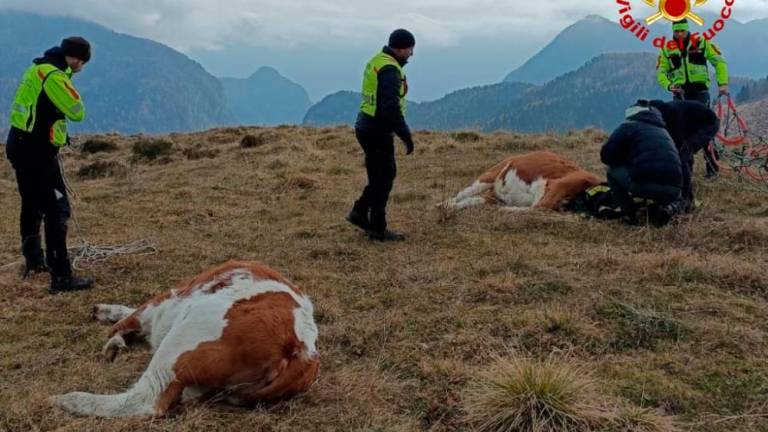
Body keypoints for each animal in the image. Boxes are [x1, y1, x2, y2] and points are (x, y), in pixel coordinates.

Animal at [51, 260, 320, 418]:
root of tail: (301, 346)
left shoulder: (158, 304)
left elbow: (130, 318)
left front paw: (110, 325)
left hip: (182, 341)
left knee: (146, 401)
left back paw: (69, 399)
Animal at [440, 151, 604, 212]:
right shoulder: (558, 185)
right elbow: (539, 206)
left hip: (493, 196)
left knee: (472, 200)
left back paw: (448, 206)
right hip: (488, 176)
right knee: (464, 193)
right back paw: (443, 204)